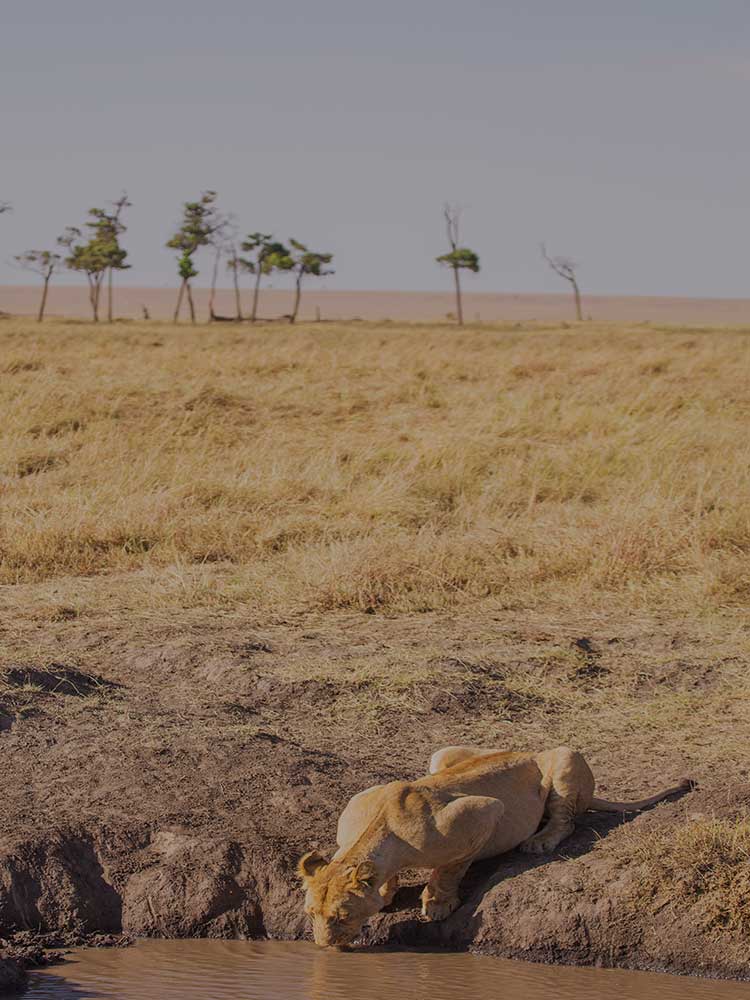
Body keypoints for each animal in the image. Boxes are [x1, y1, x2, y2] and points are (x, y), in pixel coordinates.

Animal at [299, 744, 692, 948]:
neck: (379, 832)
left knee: (566, 819)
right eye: (310, 914)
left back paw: (539, 841)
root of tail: (532, 748)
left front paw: (437, 904)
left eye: (342, 916)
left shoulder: (484, 810)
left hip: (564, 757)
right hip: (444, 752)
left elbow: (451, 868)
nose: (323, 945)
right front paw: (385, 891)